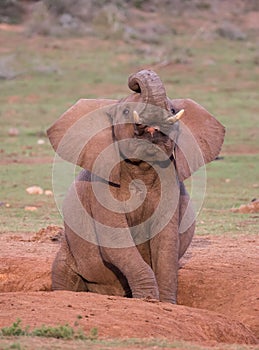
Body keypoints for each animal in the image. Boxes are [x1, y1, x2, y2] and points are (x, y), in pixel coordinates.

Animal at [47, 69, 225, 304]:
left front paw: (164, 302)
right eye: (125, 111)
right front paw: (148, 299)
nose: (136, 82)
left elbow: (166, 242)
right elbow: (115, 240)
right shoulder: (100, 188)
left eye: (172, 110)